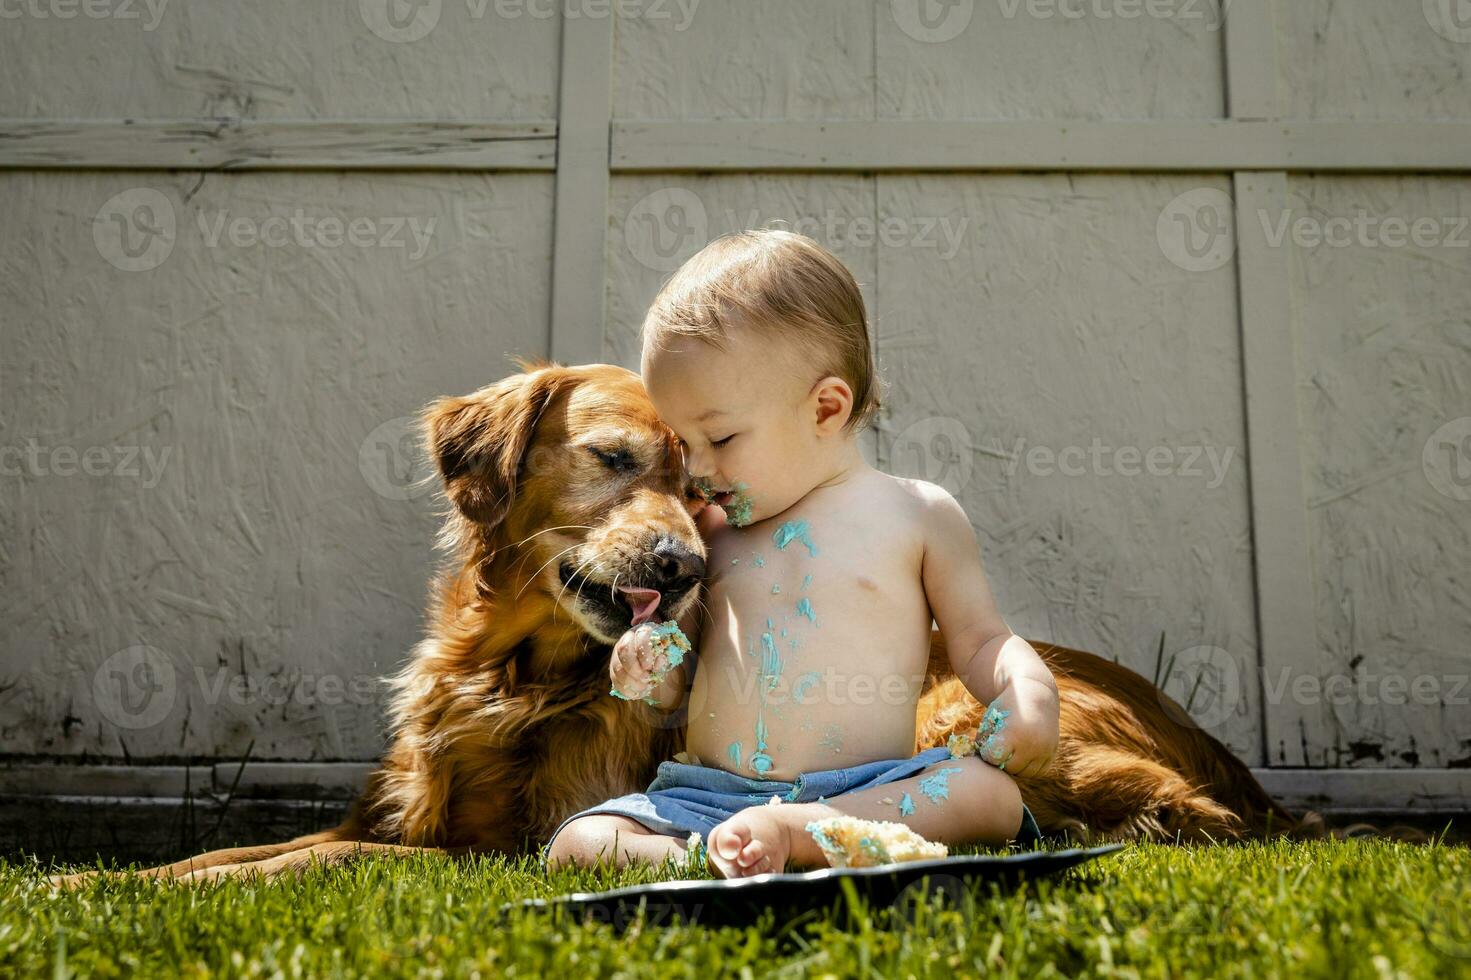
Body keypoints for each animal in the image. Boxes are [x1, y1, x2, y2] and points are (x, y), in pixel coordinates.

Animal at [54, 360, 1288, 882]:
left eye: (698, 491)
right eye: (612, 459)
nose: (685, 566)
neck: (514, 671)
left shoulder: (476, 851)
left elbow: (291, 862)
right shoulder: (406, 816)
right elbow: (234, 847)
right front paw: (85, 881)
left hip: (962, 709)